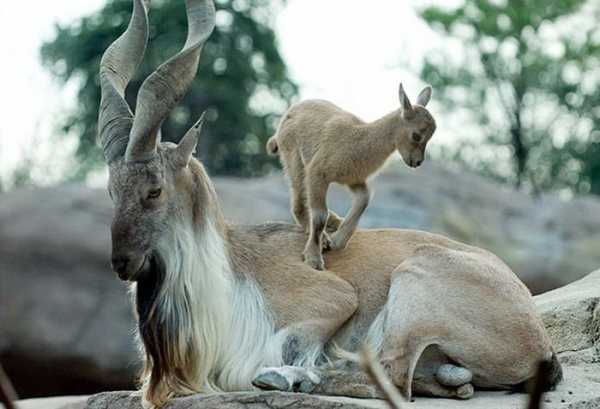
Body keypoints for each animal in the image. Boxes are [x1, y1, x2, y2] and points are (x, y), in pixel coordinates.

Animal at [268, 83, 436, 270]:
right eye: (416, 135)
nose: (417, 162)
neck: (356, 140)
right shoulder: (317, 173)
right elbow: (319, 216)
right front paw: (314, 258)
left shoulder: (354, 179)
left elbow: (363, 200)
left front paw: (337, 241)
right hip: (295, 159)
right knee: (299, 203)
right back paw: (320, 235)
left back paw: (335, 222)